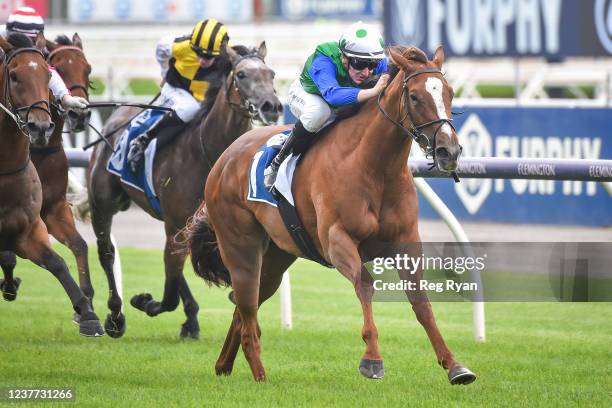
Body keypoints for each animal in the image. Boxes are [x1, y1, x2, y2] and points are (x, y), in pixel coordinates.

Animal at [0, 33, 103, 336]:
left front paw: (86, 309)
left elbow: (74, 249)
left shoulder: (51, 210)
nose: (40, 127)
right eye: (14, 76)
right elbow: (8, 256)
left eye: (88, 69)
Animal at [86, 43, 282, 340]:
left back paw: (190, 318)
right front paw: (145, 302)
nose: (271, 106)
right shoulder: (177, 222)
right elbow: (168, 294)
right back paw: (115, 315)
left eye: (271, 73)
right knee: (107, 253)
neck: (208, 152)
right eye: (241, 74)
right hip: (103, 203)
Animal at [184, 46, 476, 384]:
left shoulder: (406, 242)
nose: (448, 151)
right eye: (415, 97)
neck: (375, 166)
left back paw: (224, 366)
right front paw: (372, 359)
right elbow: (365, 285)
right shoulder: (337, 239)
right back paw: (260, 377)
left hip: (276, 258)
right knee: (246, 309)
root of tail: (225, 158)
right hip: (240, 247)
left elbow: (421, 301)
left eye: (449, 92)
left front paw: (455, 365)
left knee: (246, 307)